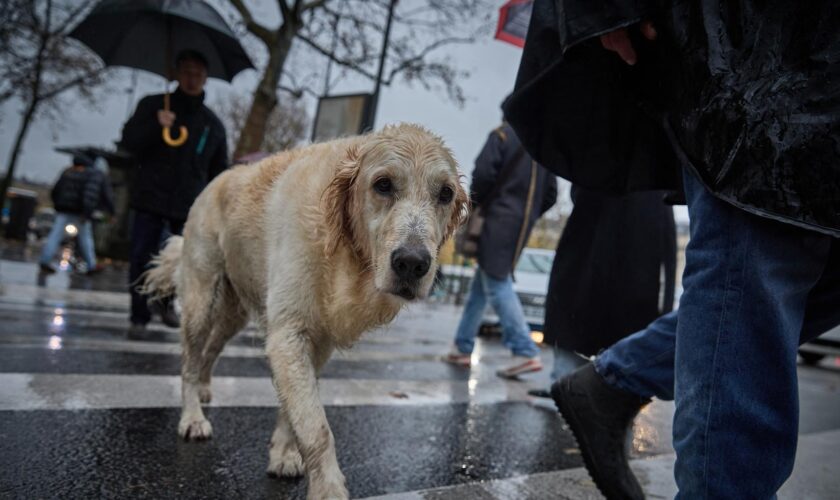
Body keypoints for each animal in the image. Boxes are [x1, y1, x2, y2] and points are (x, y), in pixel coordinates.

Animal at [146, 123, 472, 498]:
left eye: (445, 194)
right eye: (383, 184)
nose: (412, 263)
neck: (342, 247)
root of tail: (219, 178)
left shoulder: (317, 341)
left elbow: (296, 411)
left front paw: (284, 453)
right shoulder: (289, 334)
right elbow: (316, 426)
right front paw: (328, 489)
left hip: (233, 313)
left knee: (211, 349)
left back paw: (203, 388)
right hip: (202, 299)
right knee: (189, 360)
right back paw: (192, 416)